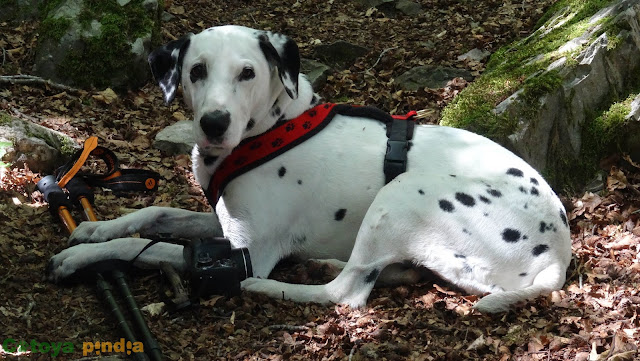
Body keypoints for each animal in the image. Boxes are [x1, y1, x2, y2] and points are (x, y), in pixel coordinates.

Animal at [47, 25, 572, 312]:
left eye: (247, 73)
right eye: (196, 71)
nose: (214, 123)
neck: (272, 131)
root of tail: (558, 254)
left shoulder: (242, 253)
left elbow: (151, 246)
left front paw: (84, 256)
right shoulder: (224, 222)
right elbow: (154, 214)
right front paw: (95, 229)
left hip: (403, 193)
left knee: (344, 294)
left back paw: (270, 286)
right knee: (372, 274)